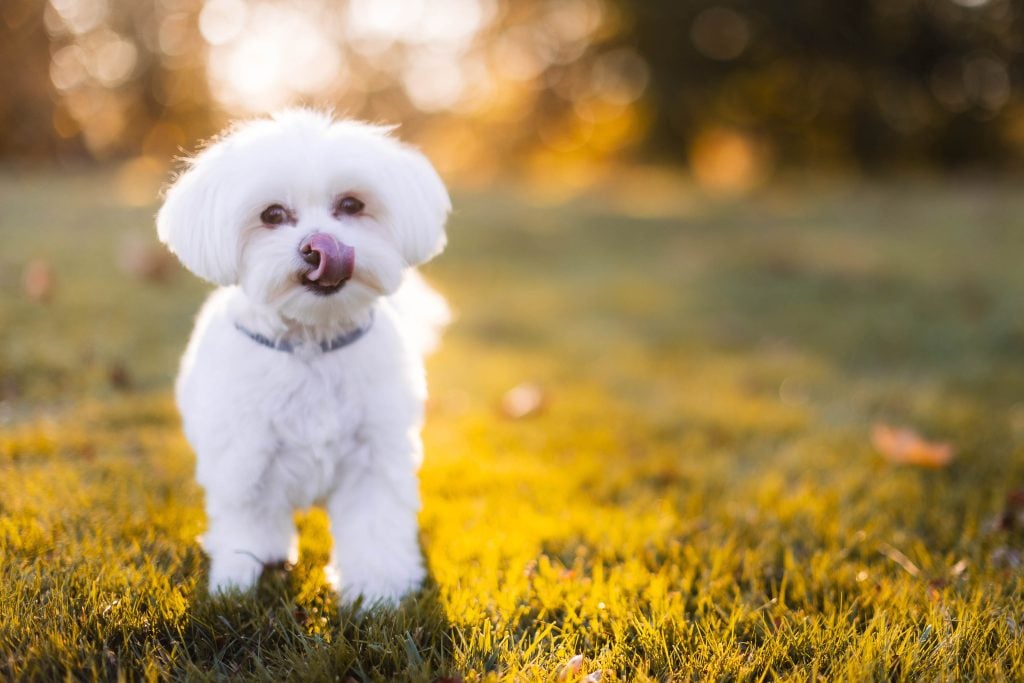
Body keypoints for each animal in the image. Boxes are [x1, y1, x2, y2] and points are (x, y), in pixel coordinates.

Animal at [154, 109, 448, 606]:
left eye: (351, 205)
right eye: (272, 215)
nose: (319, 245)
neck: (312, 343)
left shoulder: (373, 458)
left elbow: (374, 528)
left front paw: (378, 592)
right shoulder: (245, 458)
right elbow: (248, 522)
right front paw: (239, 580)